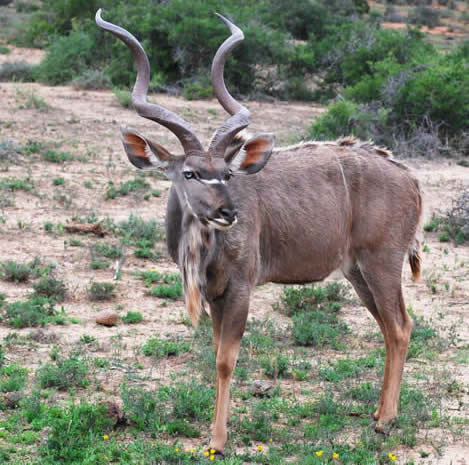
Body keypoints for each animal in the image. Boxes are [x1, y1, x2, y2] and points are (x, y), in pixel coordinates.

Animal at [97, 9, 422, 454]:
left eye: (227, 173)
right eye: (190, 173)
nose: (228, 212)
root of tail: (412, 180)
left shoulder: (239, 289)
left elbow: (225, 360)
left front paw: (217, 440)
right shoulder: (215, 296)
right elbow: (215, 352)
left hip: (381, 263)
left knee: (401, 326)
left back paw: (386, 422)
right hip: (358, 272)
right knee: (390, 328)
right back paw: (377, 414)